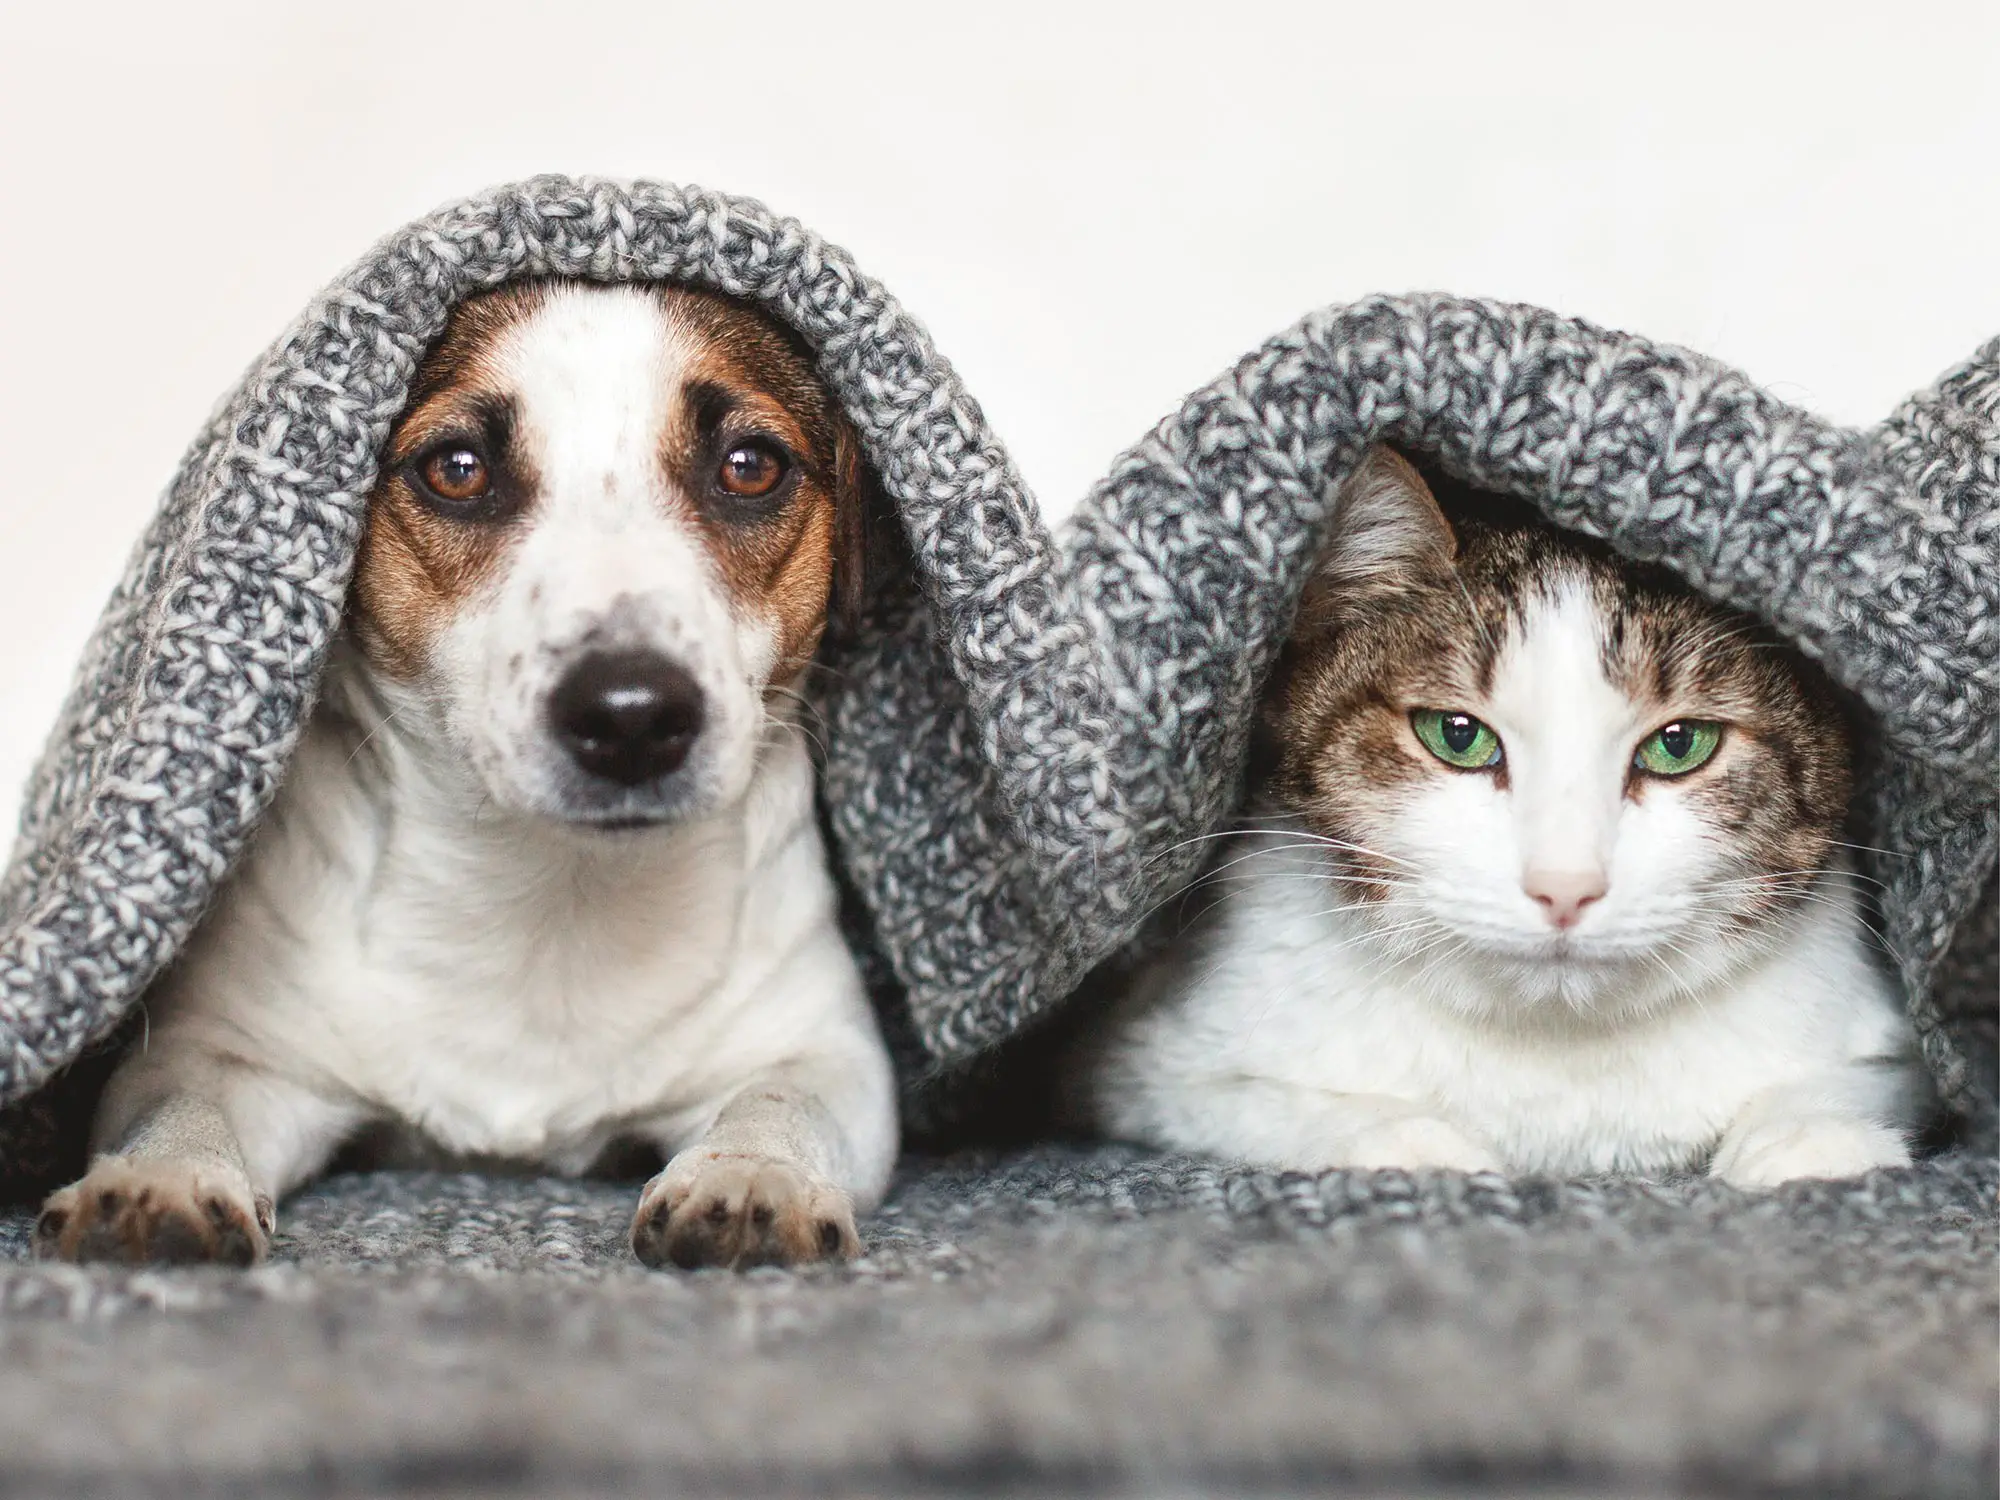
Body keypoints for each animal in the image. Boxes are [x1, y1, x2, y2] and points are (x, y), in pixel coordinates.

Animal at [31, 280, 900, 1272]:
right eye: (457, 469)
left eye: (750, 466)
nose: (631, 715)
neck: (553, 902)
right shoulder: (223, 1055)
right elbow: (184, 1108)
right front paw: (161, 1179)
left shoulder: (825, 1054)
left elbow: (780, 1099)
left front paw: (754, 1175)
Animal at [1080, 446, 1936, 1184]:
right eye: (1456, 735)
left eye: (1680, 744)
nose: (1565, 887)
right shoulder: (1142, 1060)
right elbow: (1253, 1102)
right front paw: (1404, 1138)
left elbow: (1865, 1078)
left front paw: (1811, 1132)